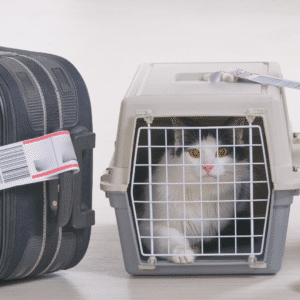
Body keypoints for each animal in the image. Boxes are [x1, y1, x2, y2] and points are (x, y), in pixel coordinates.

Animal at [139, 117, 250, 262]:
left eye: (222, 152)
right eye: (195, 153)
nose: (208, 166)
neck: (202, 194)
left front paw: (195, 249)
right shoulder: (147, 226)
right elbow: (169, 236)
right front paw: (182, 252)